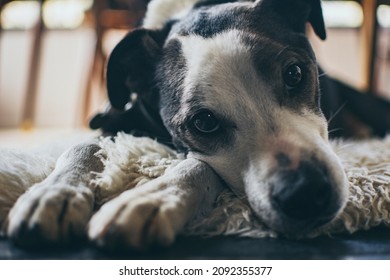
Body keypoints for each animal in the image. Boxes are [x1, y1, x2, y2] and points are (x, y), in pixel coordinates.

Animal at [2, 0, 390, 250]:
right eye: (204, 122)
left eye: (294, 74)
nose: (305, 193)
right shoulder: (115, 122)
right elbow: (82, 145)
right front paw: (53, 194)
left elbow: (199, 166)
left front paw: (151, 198)